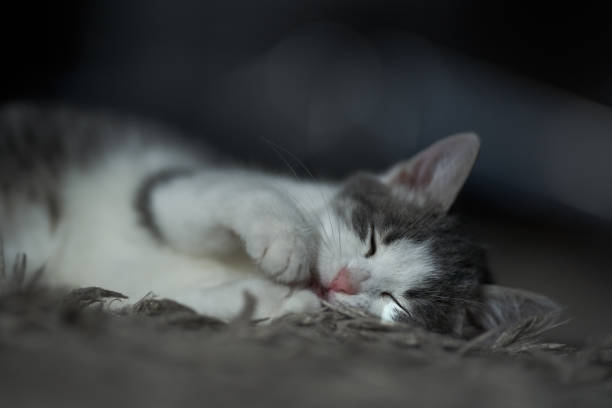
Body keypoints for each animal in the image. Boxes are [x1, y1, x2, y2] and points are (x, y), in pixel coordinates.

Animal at [0, 104, 556, 334]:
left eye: (395, 303)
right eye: (372, 238)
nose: (341, 281)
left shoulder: (131, 289)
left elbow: (154, 302)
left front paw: (281, 304)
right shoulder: (168, 188)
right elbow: (240, 193)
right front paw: (287, 244)